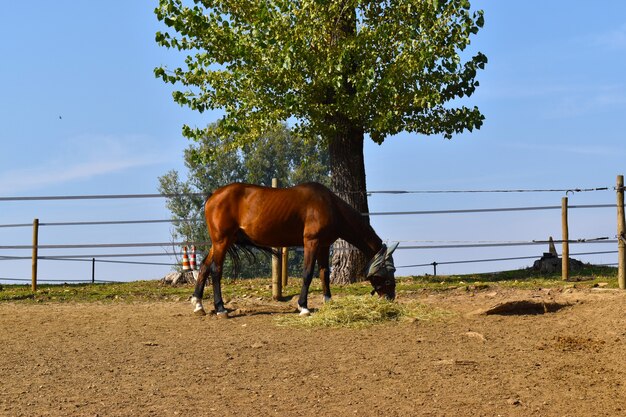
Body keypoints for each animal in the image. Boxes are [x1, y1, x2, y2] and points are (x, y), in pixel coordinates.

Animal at [188, 181, 398, 316]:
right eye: (390, 270)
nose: (391, 297)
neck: (330, 206)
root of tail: (213, 196)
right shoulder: (311, 242)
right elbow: (308, 273)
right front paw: (303, 307)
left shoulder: (323, 245)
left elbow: (324, 273)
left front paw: (328, 302)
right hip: (222, 241)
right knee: (215, 270)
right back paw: (221, 308)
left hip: (221, 242)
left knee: (204, 267)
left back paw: (198, 305)